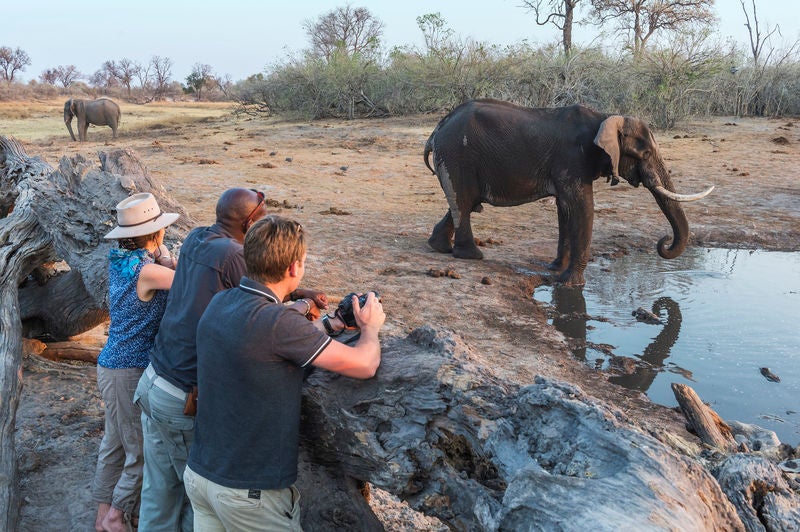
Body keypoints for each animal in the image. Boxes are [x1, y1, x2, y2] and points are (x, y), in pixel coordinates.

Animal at [424, 97, 712, 284]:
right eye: (647, 154)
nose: (663, 242)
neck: (605, 118)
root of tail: (437, 129)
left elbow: (565, 209)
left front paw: (555, 269)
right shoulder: (572, 159)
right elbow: (582, 208)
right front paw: (571, 283)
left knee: (465, 203)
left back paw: (439, 247)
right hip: (458, 154)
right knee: (464, 201)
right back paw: (472, 256)